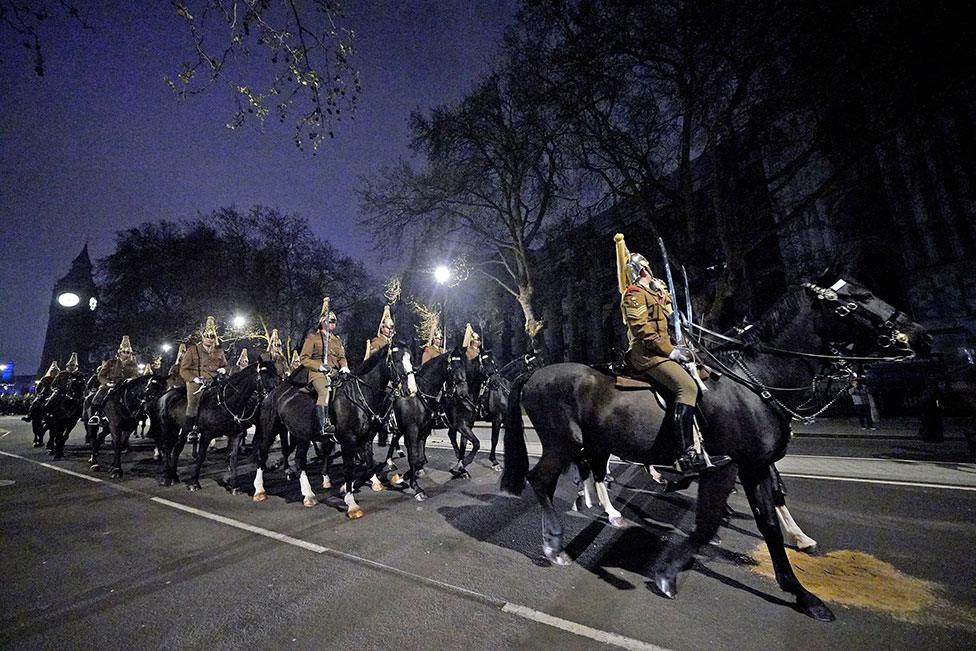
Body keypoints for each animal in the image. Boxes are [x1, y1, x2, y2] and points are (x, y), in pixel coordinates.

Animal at [156, 360, 278, 492]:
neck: (226, 403)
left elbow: (233, 458)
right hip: (168, 428)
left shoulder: (236, 435)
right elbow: (201, 456)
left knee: (177, 449)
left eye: (276, 374)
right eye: (264, 374)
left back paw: (174, 476)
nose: (275, 395)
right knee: (167, 448)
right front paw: (194, 483)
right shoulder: (206, 435)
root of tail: (165, 396)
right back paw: (165, 478)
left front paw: (234, 486)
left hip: (182, 429)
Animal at [250, 342, 414, 520]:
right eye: (396, 360)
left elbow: (371, 466)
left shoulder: (365, 439)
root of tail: (273, 392)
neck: (359, 396)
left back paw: (308, 495)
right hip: (269, 430)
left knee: (300, 460)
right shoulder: (348, 441)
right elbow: (349, 469)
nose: (411, 390)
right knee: (262, 455)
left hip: (302, 436)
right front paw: (351, 503)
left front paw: (349, 488)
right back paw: (259, 490)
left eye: (411, 359)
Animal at [504, 274, 932, 620]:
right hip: (562, 444)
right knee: (541, 480)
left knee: (580, 474)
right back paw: (556, 544)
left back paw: (598, 512)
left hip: (592, 444)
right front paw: (668, 572)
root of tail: (534, 374)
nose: (921, 335)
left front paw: (801, 591)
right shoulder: (726, 467)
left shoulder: (755, 466)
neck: (756, 380)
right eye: (858, 298)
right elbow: (707, 522)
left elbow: (768, 522)